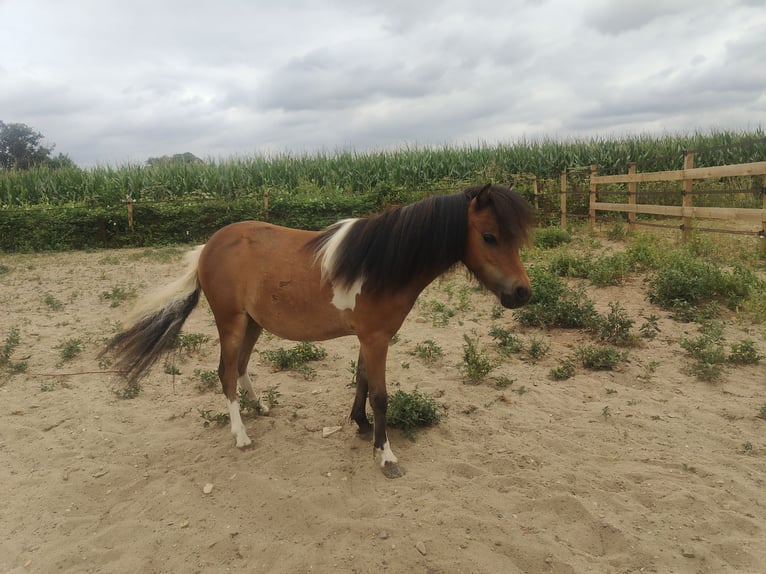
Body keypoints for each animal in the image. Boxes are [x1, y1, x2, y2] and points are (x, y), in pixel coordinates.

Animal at [102, 183, 534, 478]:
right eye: (489, 236)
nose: (522, 293)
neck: (381, 262)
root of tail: (207, 247)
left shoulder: (368, 338)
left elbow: (361, 381)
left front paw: (360, 425)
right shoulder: (376, 338)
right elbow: (380, 395)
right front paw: (386, 455)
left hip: (253, 323)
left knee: (240, 367)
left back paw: (259, 407)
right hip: (231, 322)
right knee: (224, 373)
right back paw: (241, 435)